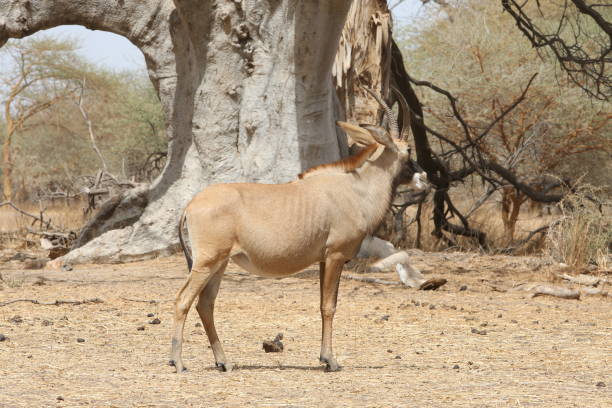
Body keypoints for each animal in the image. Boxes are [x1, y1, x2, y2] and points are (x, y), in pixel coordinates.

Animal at [171, 89, 430, 372]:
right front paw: (330, 360)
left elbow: (322, 304)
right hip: (206, 262)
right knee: (183, 300)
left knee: (205, 304)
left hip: (220, 263)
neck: (355, 188)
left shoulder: (323, 260)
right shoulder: (336, 255)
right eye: (407, 150)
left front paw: (324, 357)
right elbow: (329, 306)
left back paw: (223, 362)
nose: (424, 178)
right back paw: (179, 363)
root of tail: (190, 206)